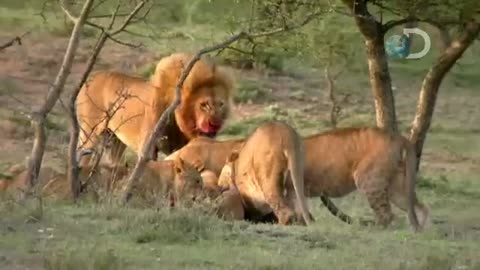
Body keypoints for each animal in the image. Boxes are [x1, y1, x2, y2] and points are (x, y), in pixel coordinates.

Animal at [76, 51, 235, 168]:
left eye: (220, 104)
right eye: (204, 104)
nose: (215, 124)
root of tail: (89, 79)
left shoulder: (180, 147)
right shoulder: (148, 149)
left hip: (114, 140)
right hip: (89, 132)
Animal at [167, 125, 430, 231]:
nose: (221, 187)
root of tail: (399, 137)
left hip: (369, 179)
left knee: (386, 216)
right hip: (395, 185)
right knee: (419, 208)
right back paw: (421, 231)